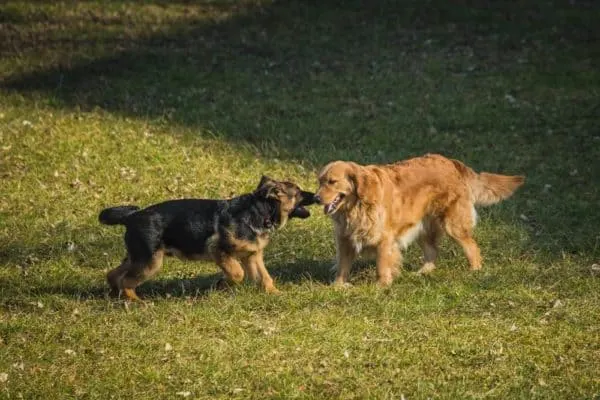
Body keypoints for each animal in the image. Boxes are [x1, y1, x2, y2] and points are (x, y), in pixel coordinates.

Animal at [101, 176, 316, 300]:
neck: (261, 211)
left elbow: (265, 277)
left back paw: (115, 296)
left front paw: (275, 294)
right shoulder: (219, 249)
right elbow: (237, 274)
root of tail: (131, 216)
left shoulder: (253, 256)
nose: (315, 196)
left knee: (113, 274)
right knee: (125, 281)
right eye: (298, 192)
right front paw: (221, 286)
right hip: (150, 262)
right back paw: (135, 301)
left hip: (138, 257)